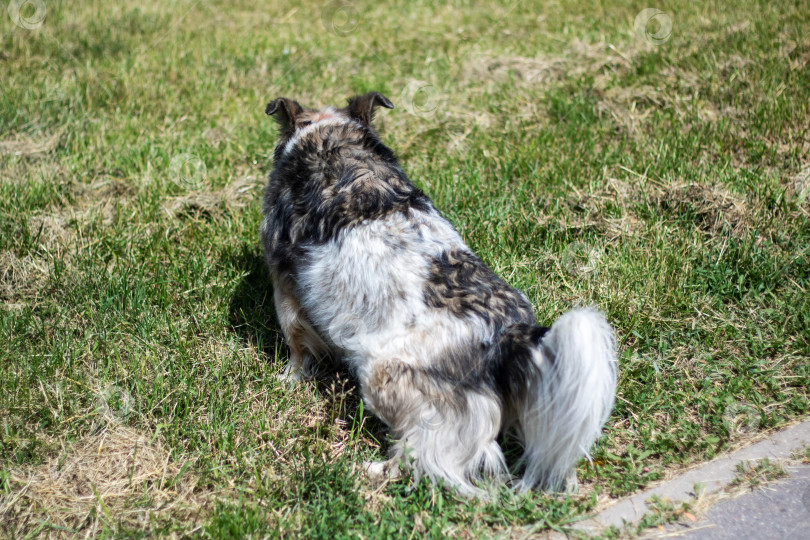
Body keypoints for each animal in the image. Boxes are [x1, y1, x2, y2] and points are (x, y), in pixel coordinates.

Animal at [262, 93, 616, 498]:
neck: (331, 140)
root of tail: (506, 336)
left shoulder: (284, 287)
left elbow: (296, 342)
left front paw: (288, 378)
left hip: (390, 380)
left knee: (425, 455)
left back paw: (373, 469)